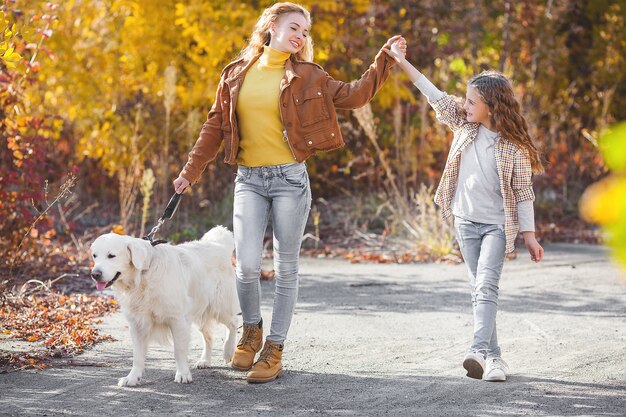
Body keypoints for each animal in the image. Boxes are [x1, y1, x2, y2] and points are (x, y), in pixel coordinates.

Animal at [90, 226, 239, 386]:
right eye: (94, 256)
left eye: (111, 256)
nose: (95, 274)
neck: (143, 274)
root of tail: (219, 245)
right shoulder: (137, 324)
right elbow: (137, 356)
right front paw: (132, 377)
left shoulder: (177, 319)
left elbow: (179, 351)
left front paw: (183, 374)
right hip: (200, 312)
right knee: (209, 336)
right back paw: (205, 360)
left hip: (220, 306)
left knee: (233, 323)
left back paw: (228, 351)